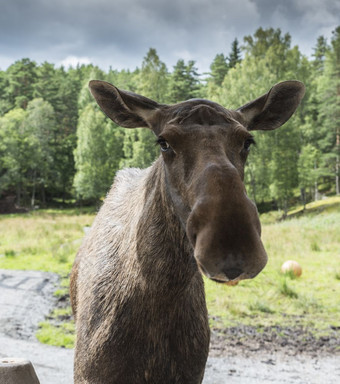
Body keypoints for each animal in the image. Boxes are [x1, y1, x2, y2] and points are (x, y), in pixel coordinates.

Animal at [70, 79, 304, 382]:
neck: (160, 295)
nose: (233, 248)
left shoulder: (191, 374)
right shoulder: (90, 373)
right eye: (164, 143)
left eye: (247, 141)